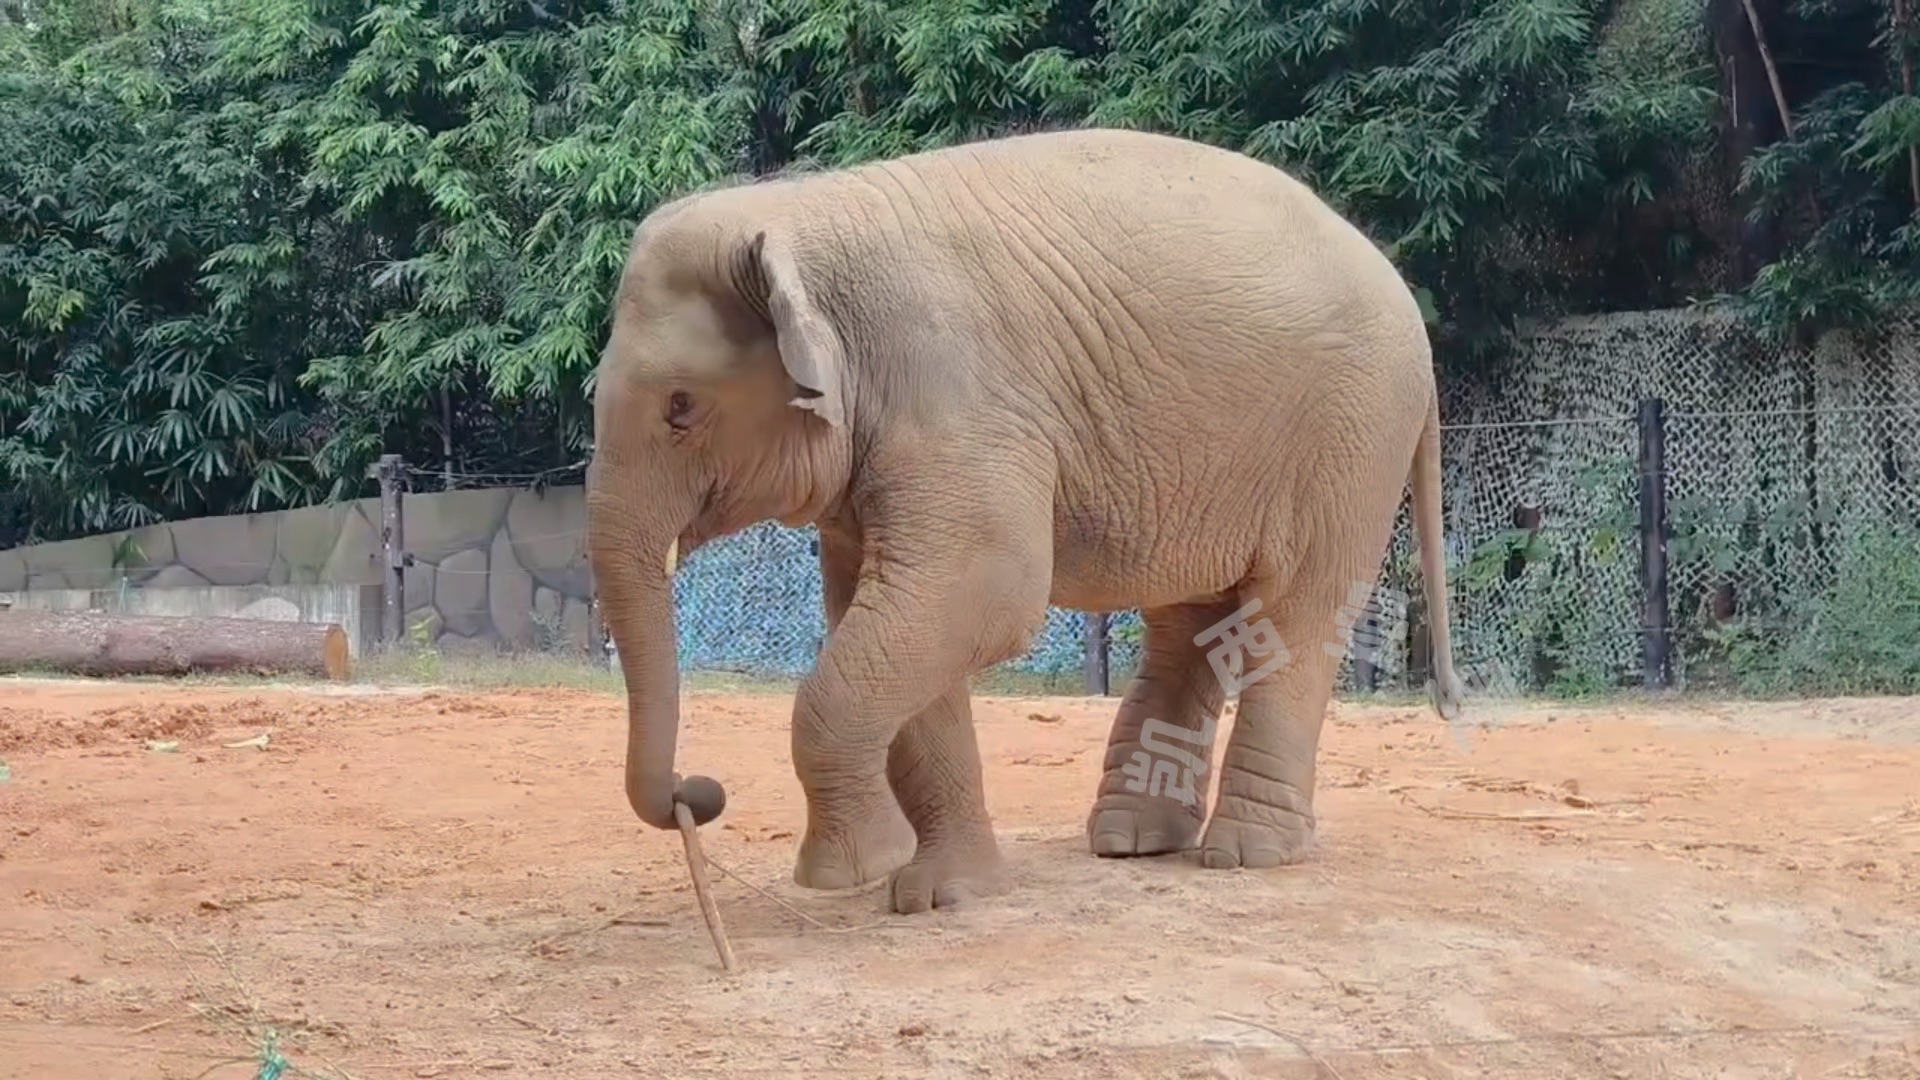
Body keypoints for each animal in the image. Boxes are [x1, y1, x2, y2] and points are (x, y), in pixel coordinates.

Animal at [583, 125, 1466, 914]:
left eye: (680, 407)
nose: (697, 793)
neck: (797, 212)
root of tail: (1410, 309)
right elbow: (896, 619)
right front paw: (941, 895)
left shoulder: (953, 396)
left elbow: (980, 596)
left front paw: (853, 873)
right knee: (1194, 623)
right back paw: (1132, 842)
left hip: (1351, 437)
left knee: (1293, 616)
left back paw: (1247, 856)